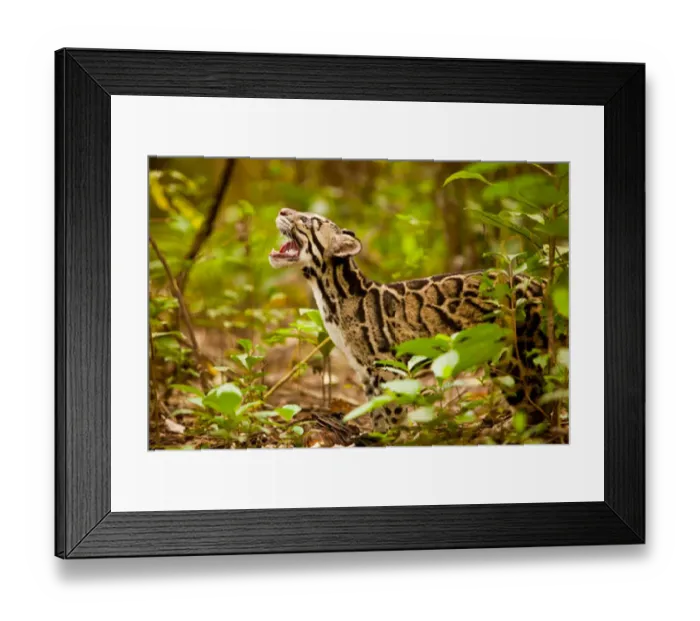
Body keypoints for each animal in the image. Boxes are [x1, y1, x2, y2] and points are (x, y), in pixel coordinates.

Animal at [269, 208, 547, 431]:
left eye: (307, 220)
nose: (282, 210)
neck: (331, 295)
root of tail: (540, 281)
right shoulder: (366, 373)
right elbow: (376, 412)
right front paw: (377, 437)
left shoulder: (389, 368)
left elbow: (392, 411)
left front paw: (393, 438)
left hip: (518, 357)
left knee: (538, 403)